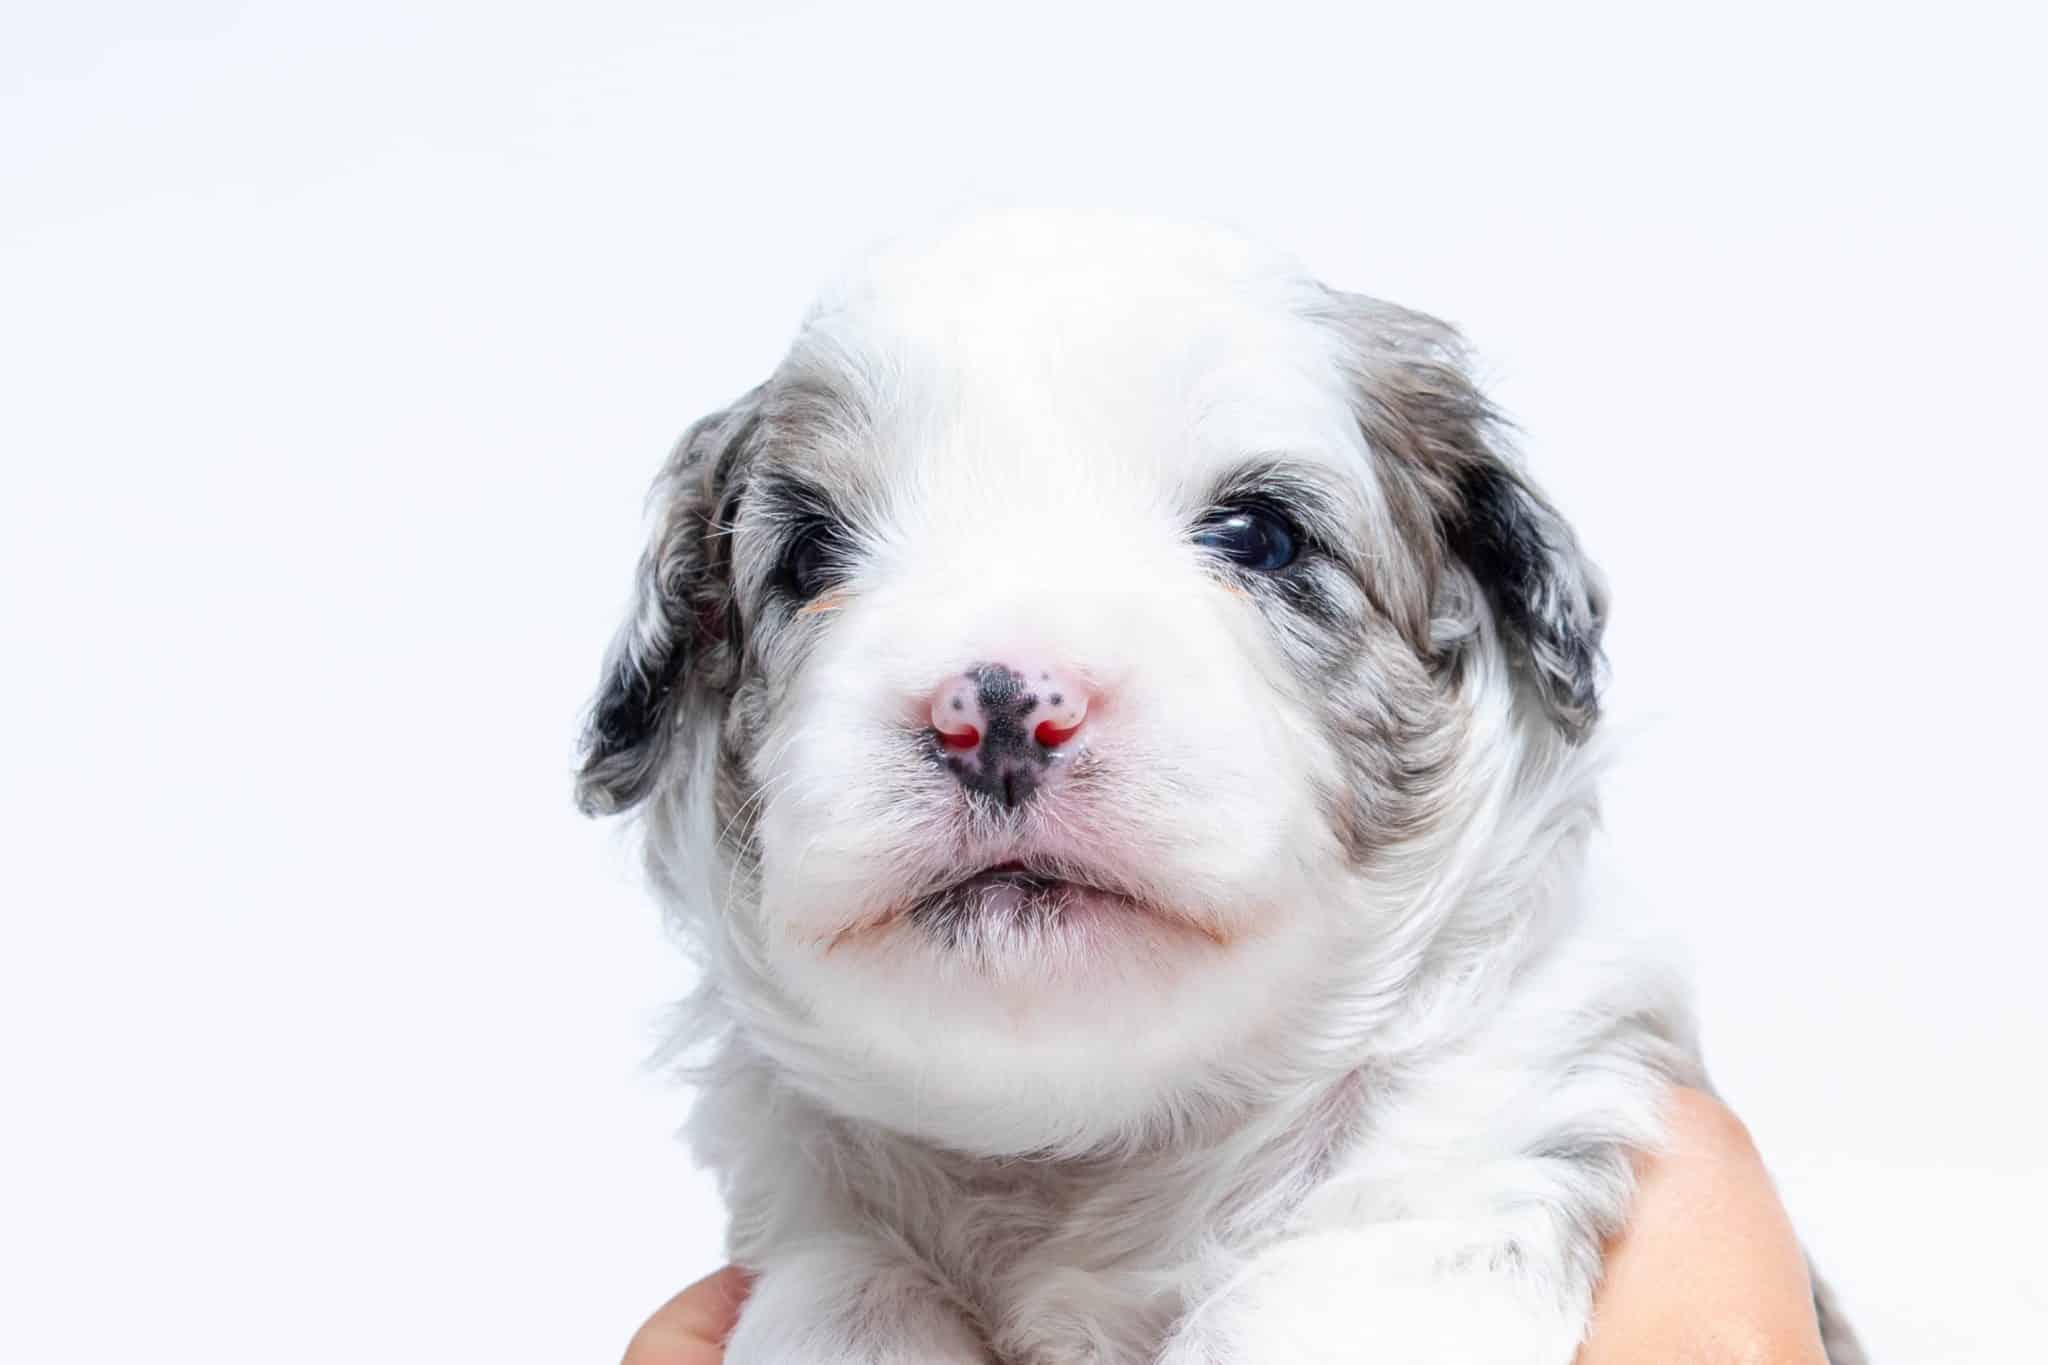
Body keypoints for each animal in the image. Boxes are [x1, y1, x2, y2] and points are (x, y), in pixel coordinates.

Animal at [577, 212, 1859, 1363]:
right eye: (807, 557)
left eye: (1259, 537)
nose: (993, 711)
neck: (1092, 1154)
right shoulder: (823, 1236)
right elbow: (849, 1297)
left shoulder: (1470, 1154)